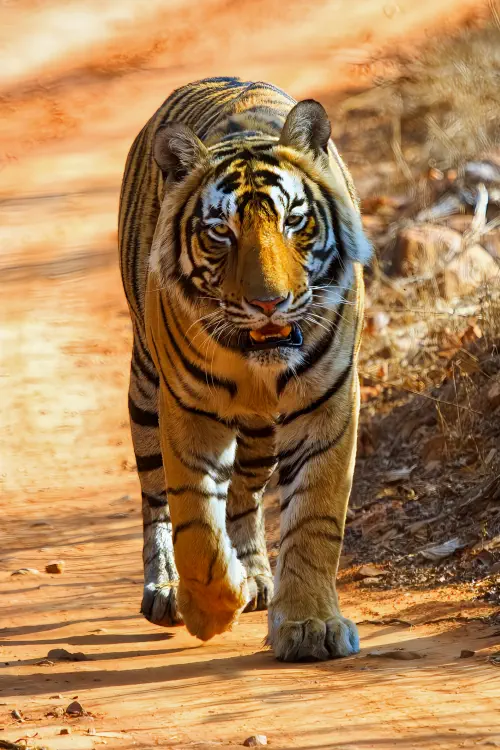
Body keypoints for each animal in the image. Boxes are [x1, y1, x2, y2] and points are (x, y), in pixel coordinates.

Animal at [118, 76, 371, 662]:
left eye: (294, 221)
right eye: (221, 234)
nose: (269, 304)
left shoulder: (330, 401)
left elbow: (315, 516)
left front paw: (310, 625)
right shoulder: (185, 409)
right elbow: (195, 523)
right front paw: (210, 609)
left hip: (262, 432)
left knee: (245, 495)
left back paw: (255, 572)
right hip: (145, 389)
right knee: (157, 499)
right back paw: (168, 586)